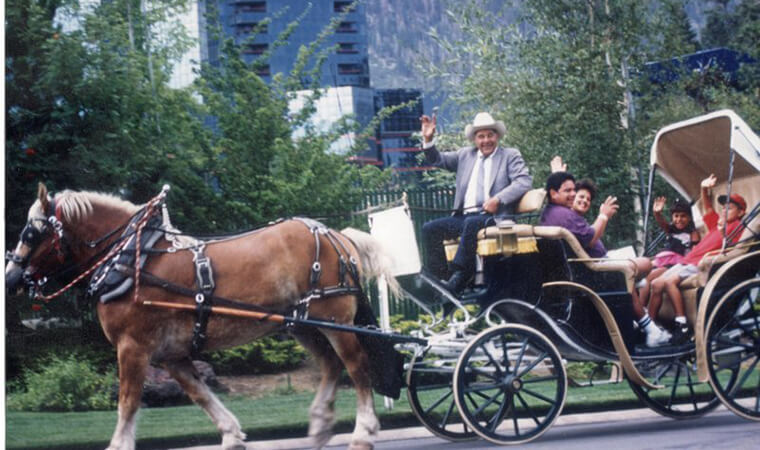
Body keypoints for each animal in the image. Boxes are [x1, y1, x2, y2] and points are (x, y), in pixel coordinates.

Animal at [7, 184, 398, 450]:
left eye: (31, 232)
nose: (10, 277)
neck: (133, 259)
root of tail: (337, 236)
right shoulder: (171, 355)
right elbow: (200, 394)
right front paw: (232, 434)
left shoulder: (133, 347)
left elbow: (128, 401)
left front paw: (118, 444)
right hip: (304, 325)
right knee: (331, 365)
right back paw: (318, 426)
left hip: (335, 321)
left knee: (356, 366)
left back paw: (363, 431)